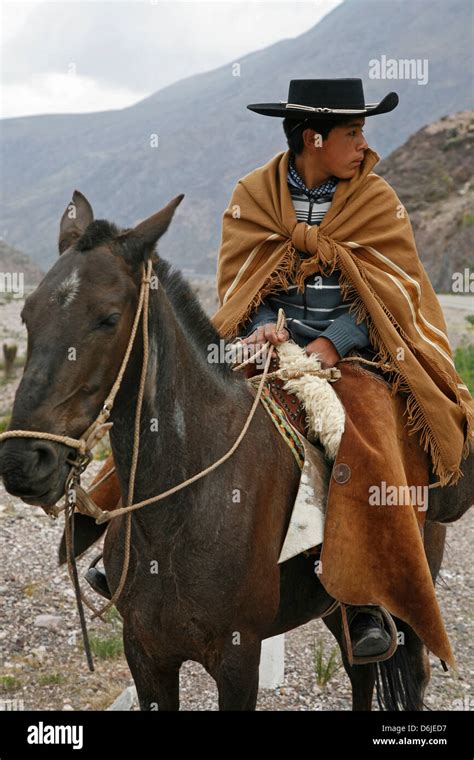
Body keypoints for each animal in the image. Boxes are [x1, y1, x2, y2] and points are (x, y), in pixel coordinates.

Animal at [0, 191, 470, 712]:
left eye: (108, 318)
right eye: (27, 316)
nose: (24, 462)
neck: (183, 512)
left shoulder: (238, 659)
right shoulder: (145, 654)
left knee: (409, 671)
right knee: (360, 669)